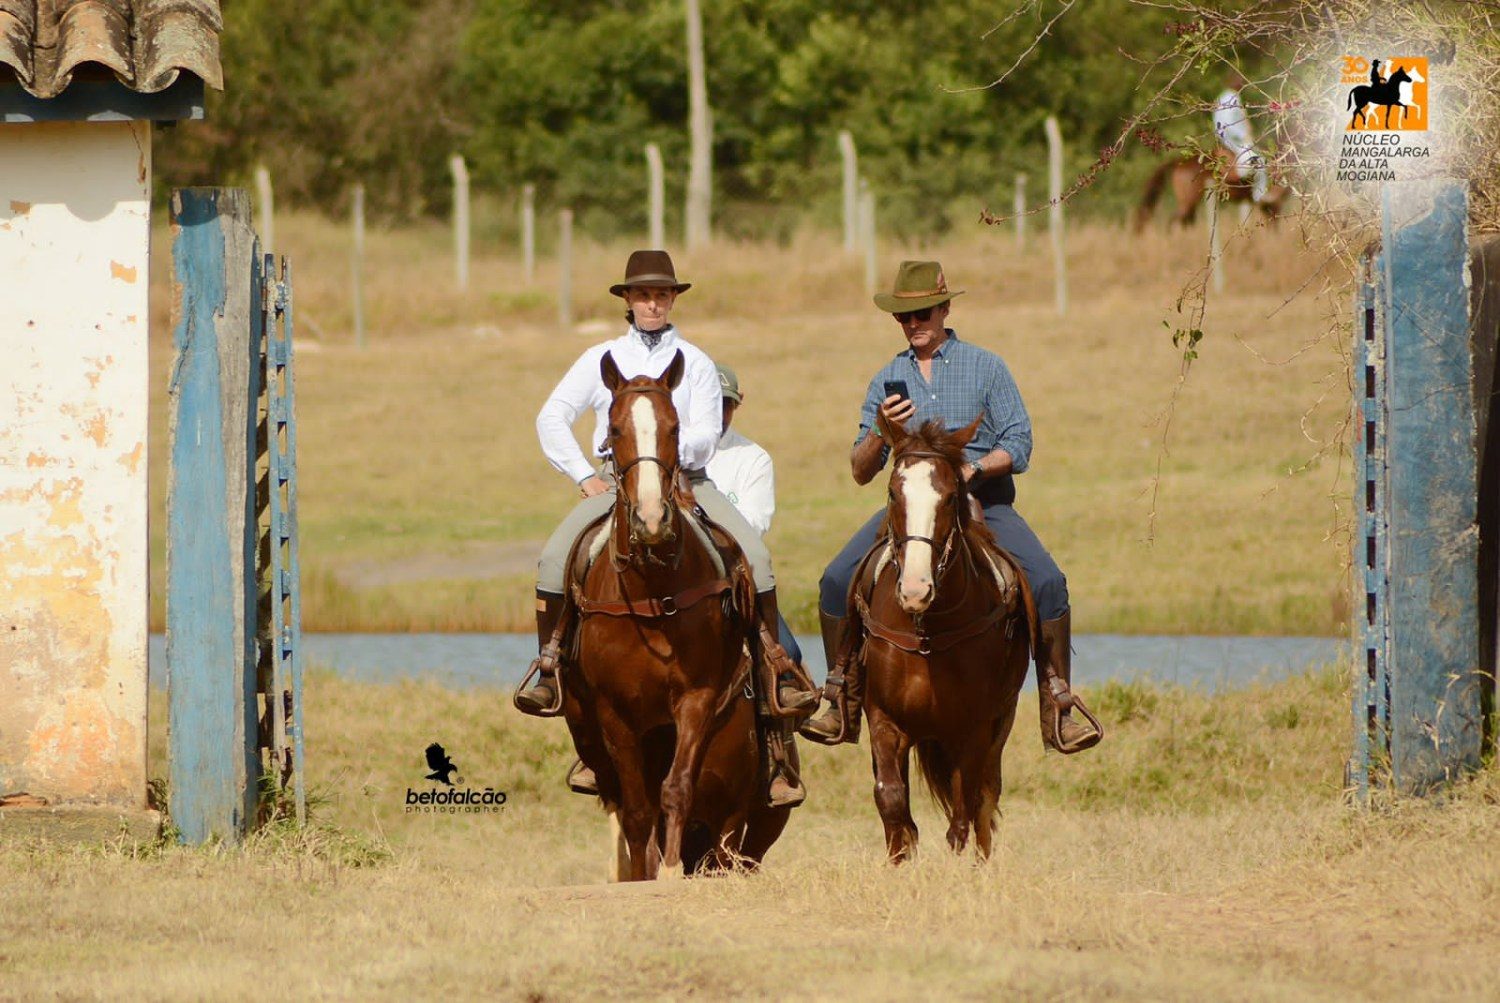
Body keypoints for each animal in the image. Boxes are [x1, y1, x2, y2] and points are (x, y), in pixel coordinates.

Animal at [552, 350, 786, 875]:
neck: (652, 594)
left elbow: (676, 791)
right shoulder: (616, 715)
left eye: (675, 427)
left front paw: (672, 872)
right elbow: (639, 812)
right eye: (614, 428)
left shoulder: (696, 701)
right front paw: (648, 874)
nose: (652, 519)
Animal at [846, 413, 1044, 863]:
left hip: (999, 724)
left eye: (951, 497)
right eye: (893, 492)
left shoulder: (972, 729)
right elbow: (891, 799)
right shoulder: (884, 719)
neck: (927, 631)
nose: (915, 589)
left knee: (985, 797)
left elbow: (964, 811)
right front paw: (900, 860)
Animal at [1134, 146, 1290, 232]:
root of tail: (1177, 163)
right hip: (1187, 202)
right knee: (1175, 222)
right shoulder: (1274, 204)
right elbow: (1275, 229)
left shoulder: (1267, 206)